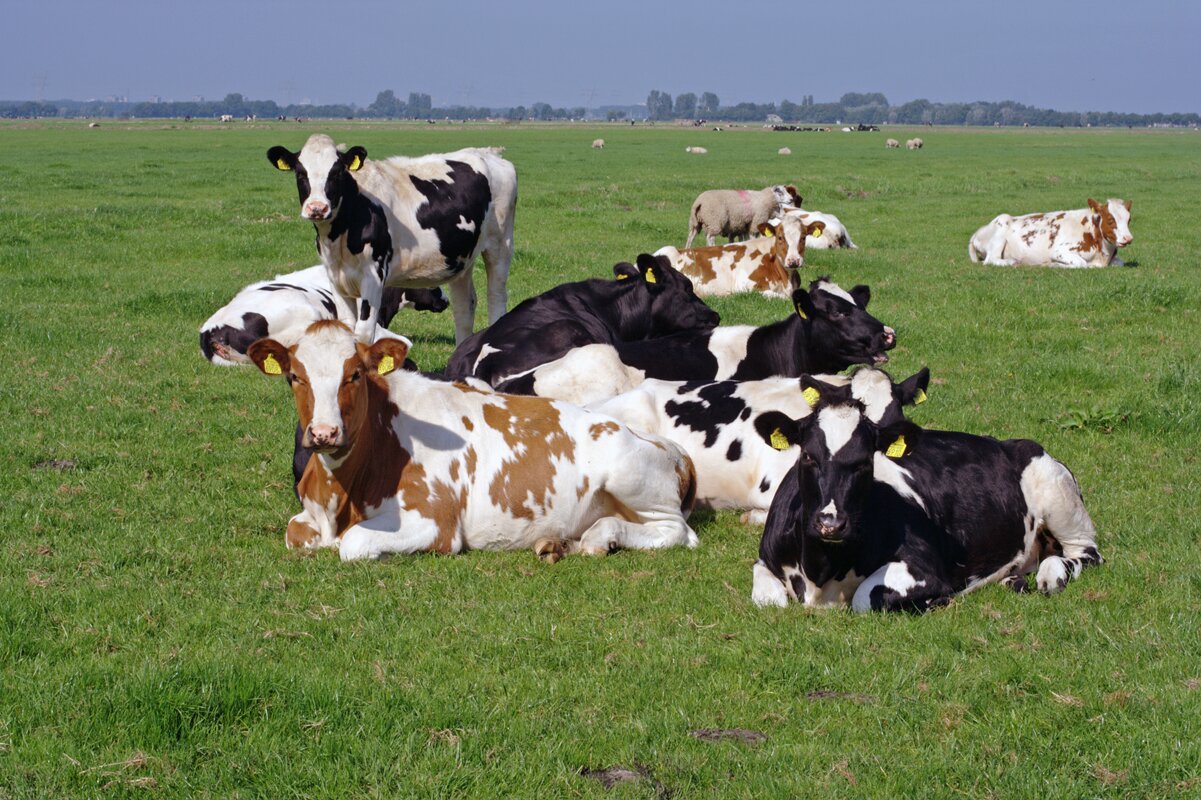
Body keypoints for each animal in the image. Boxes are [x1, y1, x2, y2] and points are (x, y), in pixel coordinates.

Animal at [247, 321, 699, 561]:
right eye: (294, 376)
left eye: (355, 373)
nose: (324, 433)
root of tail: (671, 448)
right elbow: (293, 532)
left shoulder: (436, 524)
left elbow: (352, 543)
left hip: (629, 474)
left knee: (677, 532)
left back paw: (604, 537)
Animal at [266, 133, 517, 345]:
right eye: (300, 173)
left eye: (337, 172)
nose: (317, 208)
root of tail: (487, 152)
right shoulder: (335, 278)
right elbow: (346, 329)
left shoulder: (374, 276)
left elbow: (363, 333)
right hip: (461, 258)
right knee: (464, 306)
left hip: (500, 245)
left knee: (496, 297)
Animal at [750, 376, 1102, 612]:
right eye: (808, 456)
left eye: (865, 462)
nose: (831, 524)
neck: (821, 571)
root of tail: (1013, 443)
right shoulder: (764, 561)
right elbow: (768, 600)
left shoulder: (924, 569)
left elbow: (865, 597)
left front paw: (938, 601)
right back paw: (1013, 579)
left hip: (1060, 498)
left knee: (1086, 554)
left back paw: (1053, 574)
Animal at [968, 198, 1134, 267]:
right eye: (1110, 219)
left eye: (1129, 219)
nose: (1128, 238)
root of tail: (979, 231)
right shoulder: (1060, 251)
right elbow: (1082, 263)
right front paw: (1054, 264)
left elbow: (1120, 263)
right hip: (1001, 228)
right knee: (990, 260)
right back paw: (1013, 262)